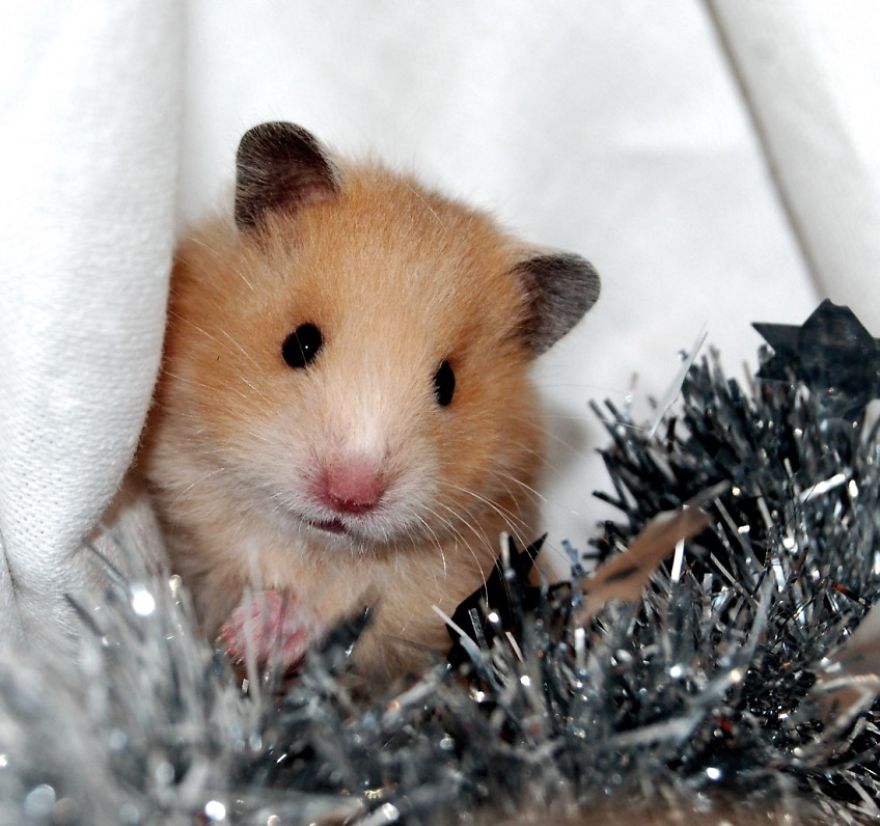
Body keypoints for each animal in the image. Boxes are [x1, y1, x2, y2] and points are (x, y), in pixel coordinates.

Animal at [141, 122, 600, 680]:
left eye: (447, 385)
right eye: (299, 344)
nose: (350, 496)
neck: (316, 547)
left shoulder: (453, 580)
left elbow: (364, 615)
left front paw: (263, 633)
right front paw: (243, 637)